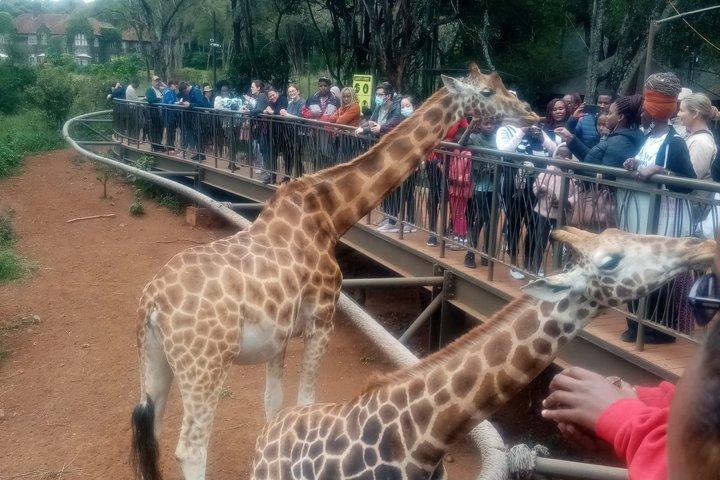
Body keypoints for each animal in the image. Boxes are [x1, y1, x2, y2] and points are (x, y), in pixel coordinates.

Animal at [130, 65, 539, 480]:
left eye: (503, 85)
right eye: (487, 92)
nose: (530, 113)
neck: (330, 214)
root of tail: (151, 303)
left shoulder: (279, 336)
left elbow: (274, 405)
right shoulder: (322, 320)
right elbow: (304, 401)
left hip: (156, 360)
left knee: (153, 431)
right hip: (205, 364)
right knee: (191, 448)